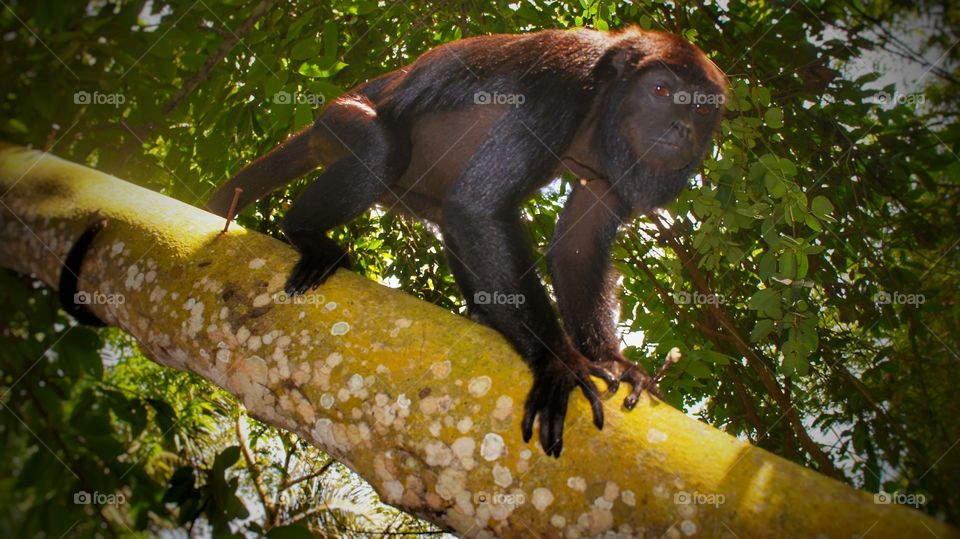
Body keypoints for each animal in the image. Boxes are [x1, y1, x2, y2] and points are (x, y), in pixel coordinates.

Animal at [207, 26, 727, 457]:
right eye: (661, 91)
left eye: (702, 107)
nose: (684, 128)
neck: (603, 103)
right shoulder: (561, 83)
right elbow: (477, 207)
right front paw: (558, 362)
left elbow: (575, 247)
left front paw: (613, 361)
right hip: (338, 123)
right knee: (382, 150)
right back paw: (304, 233)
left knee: (442, 213)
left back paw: (484, 314)